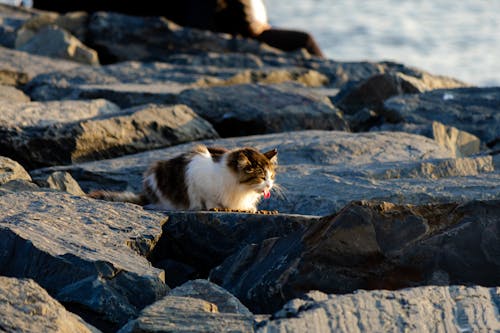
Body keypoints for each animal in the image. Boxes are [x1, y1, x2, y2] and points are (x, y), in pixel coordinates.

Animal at [88, 144, 280, 211]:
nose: (270, 185)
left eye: (271, 176)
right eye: (261, 177)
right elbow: (209, 200)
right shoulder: (196, 178)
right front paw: (216, 207)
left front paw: (248, 209)